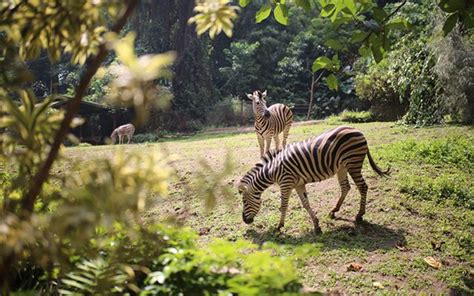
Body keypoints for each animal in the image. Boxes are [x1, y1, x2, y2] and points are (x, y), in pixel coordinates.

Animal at [237, 126, 388, 235]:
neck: (272, 170)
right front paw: (316, 225)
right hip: (342, 167)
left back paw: (359, 215)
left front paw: (279, 226)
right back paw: (334, 211)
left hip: (353, 163)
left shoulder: (286, 183)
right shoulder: (298, 184)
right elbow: (305, 204)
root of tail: (358, 130)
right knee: (346, 187)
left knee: (362, 186)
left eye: (244, 202)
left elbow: (283, 206)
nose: (244, 220)